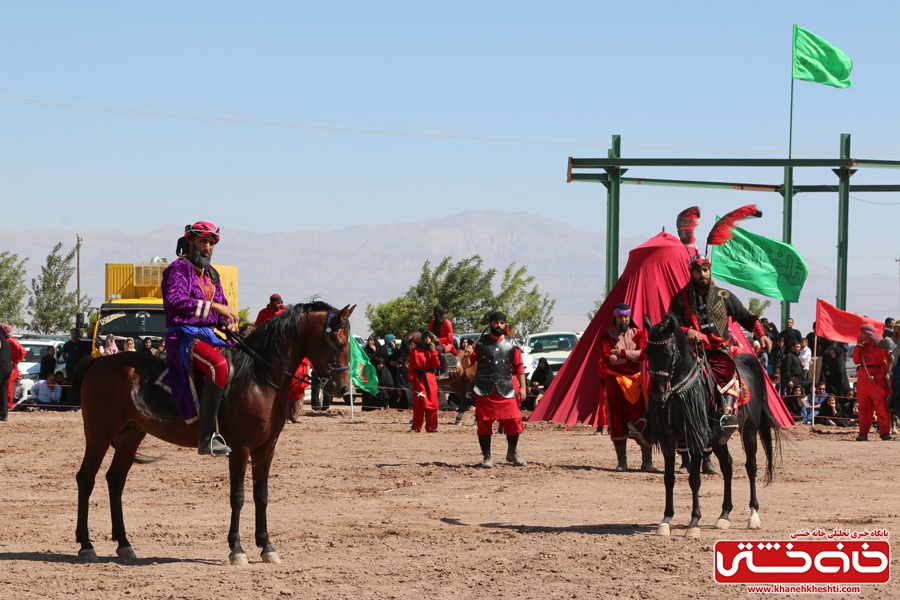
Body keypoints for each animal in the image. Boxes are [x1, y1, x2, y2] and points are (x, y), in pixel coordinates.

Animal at [71, 302, 356, 564]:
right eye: (338, 343)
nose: (343, 388)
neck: (259, 378)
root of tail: (97, 363)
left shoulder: (266, 450)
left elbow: (261, 496)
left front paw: (266, 546)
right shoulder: (240, 449)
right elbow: (238, 496)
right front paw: (237, 549)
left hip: (130, 435)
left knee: (115, 480)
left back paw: (124, 544)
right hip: (99, 433)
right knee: (86, 478)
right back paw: (86, 545)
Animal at [644, 314, 776, 540]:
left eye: (667, 352)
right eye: (647, 352)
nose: (657, 392)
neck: (679, 392)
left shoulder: (696, 436)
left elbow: (694, 479)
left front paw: (694, 523)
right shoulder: (670, 440)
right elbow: (669, 478)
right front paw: (666, 520)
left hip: (749, 430)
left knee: (751, 466)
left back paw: (753, 515)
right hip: (716, 438)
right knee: (728, 465)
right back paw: (724, 515)